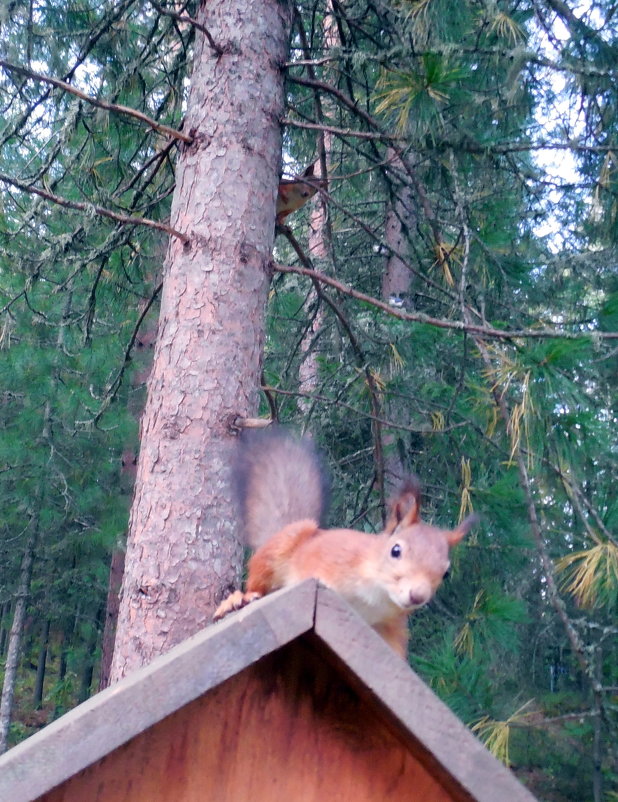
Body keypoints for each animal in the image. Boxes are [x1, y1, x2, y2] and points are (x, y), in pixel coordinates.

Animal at [213, 428, 476, 652]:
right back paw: (237, 599)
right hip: (281, 549)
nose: (417, 596)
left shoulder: (392, 624)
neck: (375, 596)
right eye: (395, 551)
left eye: (446, 573)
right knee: (258, 583)